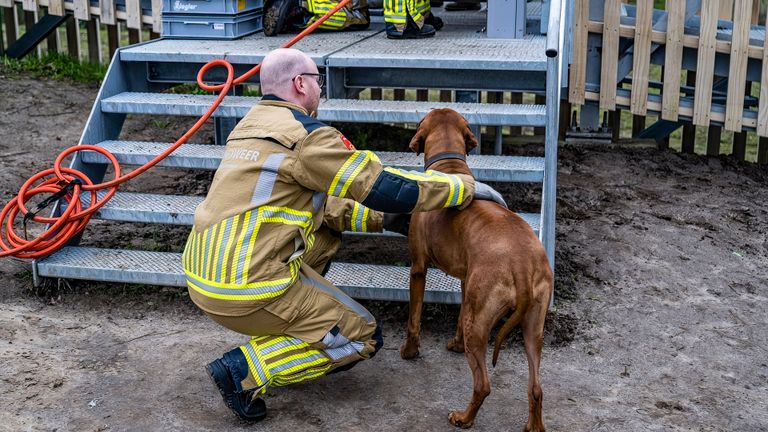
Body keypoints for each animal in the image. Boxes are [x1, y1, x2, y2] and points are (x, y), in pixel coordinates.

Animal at [402, 108, 552, 428]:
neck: (450, 165)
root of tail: (521, 264)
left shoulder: (418, 267)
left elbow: (414, 318)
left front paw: (409, 352)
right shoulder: (464, 280)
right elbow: (459, 315)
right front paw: (456, 344)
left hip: (481, 320)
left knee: (483, 385)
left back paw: (463, 417)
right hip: (532, 324)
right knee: (536, 387)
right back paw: (534, 426)